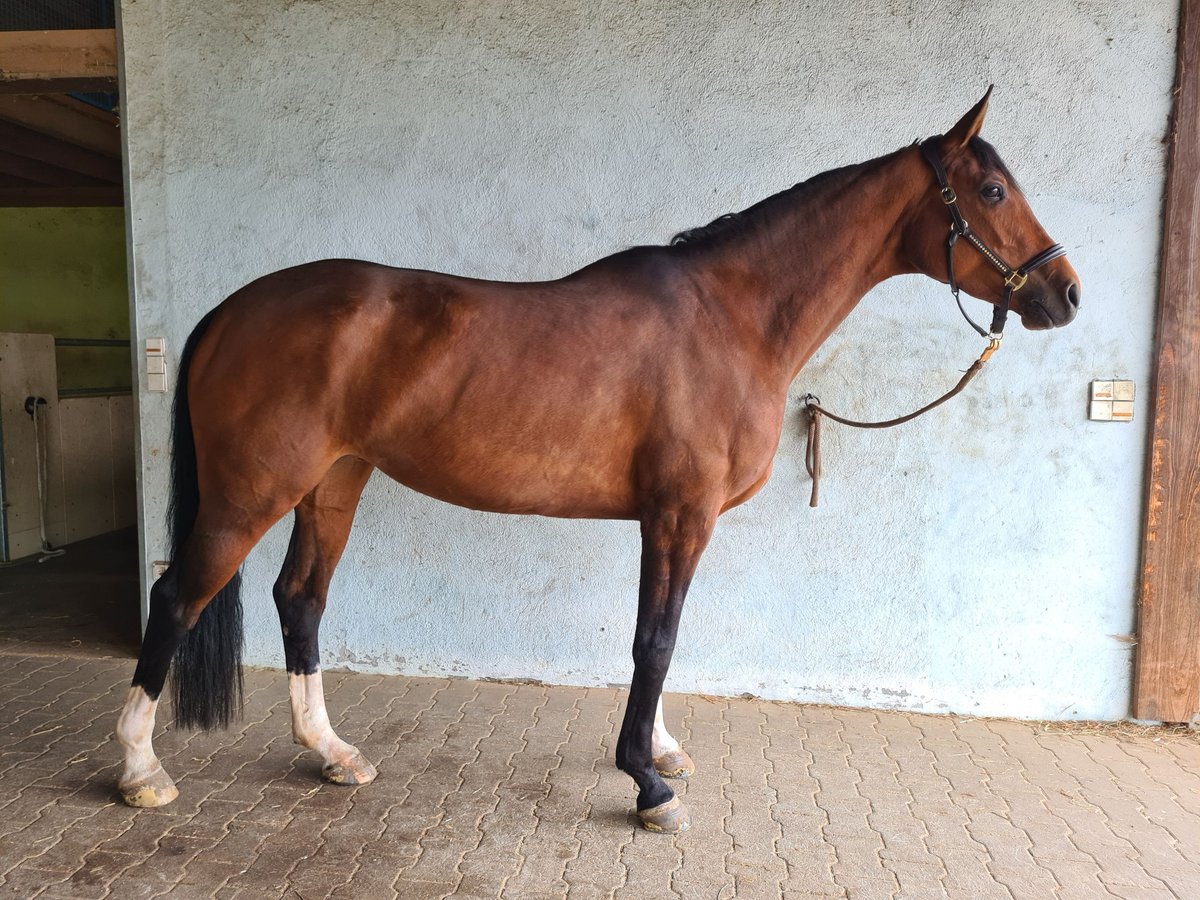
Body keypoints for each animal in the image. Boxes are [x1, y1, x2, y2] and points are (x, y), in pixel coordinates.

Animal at [119, 88, 1080, 835]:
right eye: (992, 188)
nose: (1064, 292)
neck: (732, 317)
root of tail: (232, 311)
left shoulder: (674, 521)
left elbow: (665, 639)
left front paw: (660, 750)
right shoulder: (680, 515)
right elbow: (656, 640)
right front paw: (648, 783)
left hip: (333, 485)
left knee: (300, 601)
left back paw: (331, 752)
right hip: (251, 492)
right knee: (176, 597)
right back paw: (139, 770)